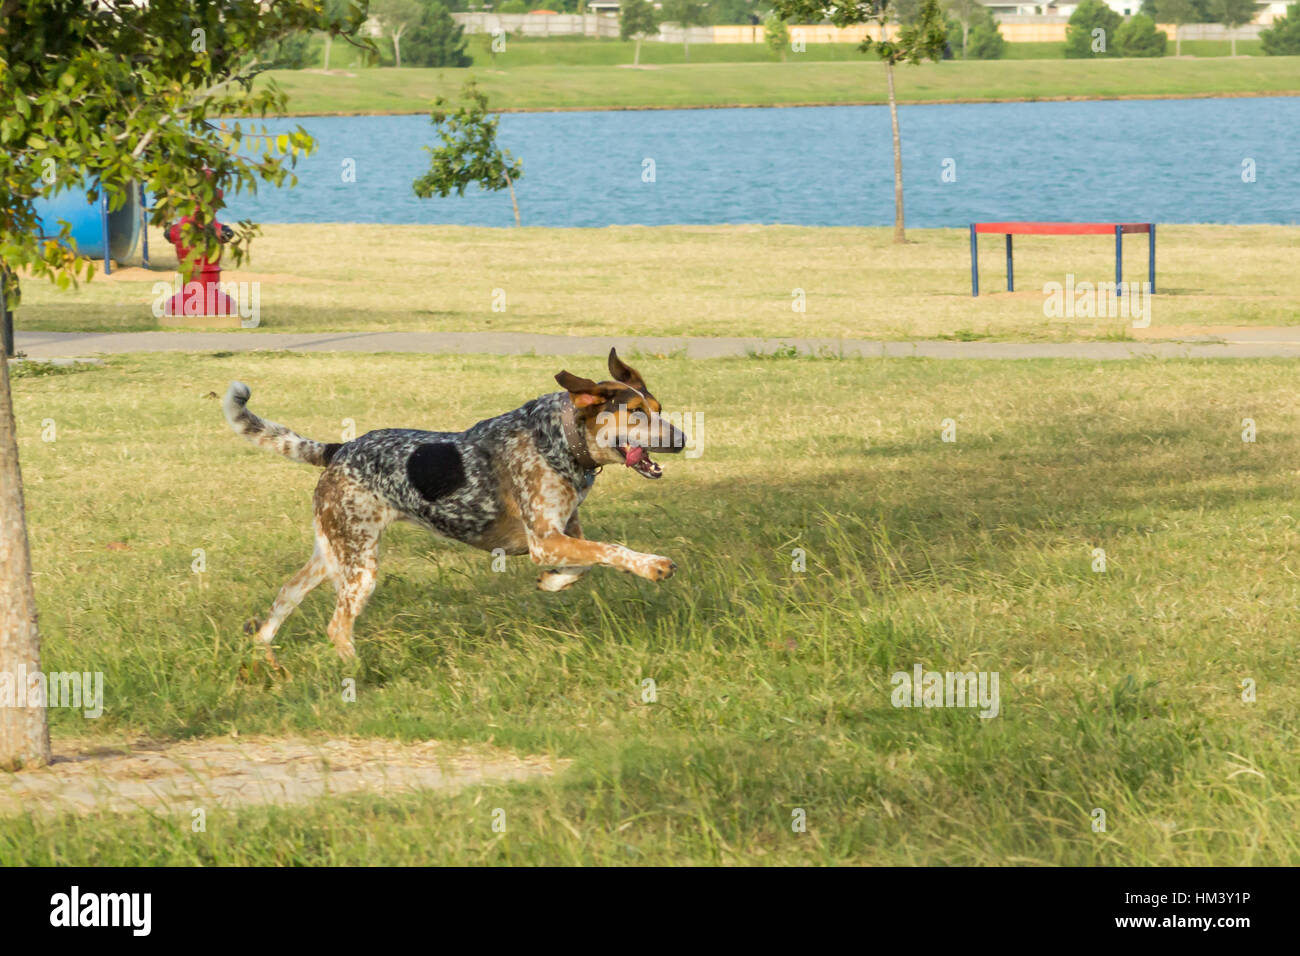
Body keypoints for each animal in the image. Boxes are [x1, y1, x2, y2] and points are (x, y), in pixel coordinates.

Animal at [223, 348, 691, 665]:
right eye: (635, 412)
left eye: (659, 409)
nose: (684, 439)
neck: (561, 439)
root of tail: (338, 449)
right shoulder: (545, 540)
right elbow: (612, 551)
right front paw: (653, 565)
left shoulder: (562, 534)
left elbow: (586, 564)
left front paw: (552, 582)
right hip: (359, 565)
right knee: (337, 625)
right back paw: (354, 673)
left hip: (333, 552)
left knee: (285, 595)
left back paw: (263, 653)